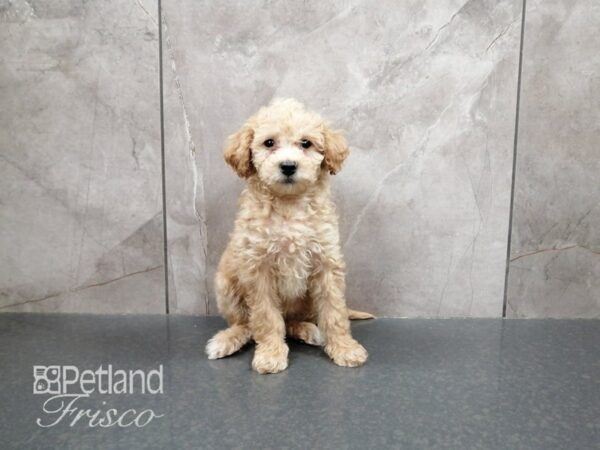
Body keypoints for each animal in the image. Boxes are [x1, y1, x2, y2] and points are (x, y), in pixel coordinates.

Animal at [209, 100, 372, 374]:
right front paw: (270, 354)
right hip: (226, 284)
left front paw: (344, 348)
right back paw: (228, 340)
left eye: (306, 143)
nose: (287, 166)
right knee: (247, 324)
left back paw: (306, 330)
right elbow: (265, 317)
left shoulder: (326, 262)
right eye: (269, 143)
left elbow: (334, 311)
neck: (289, 204)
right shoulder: (258, 268)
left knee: (292, 320)